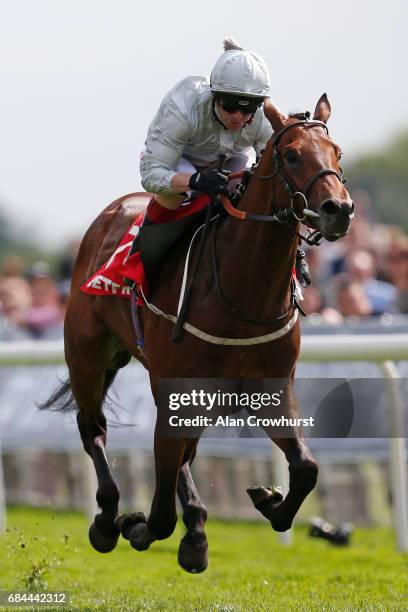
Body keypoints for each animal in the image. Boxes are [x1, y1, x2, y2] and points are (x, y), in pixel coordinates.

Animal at [42, 93, 354, 572]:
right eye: (291, 154)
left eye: (336, 152)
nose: (338, 210)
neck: (244, 293)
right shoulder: (176, 388)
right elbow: (159, 514)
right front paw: (135, 525)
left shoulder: (272, 387)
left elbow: (305, 469)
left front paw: (268, 499)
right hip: (88, 358)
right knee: (93, 429)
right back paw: (109, 518)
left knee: (182, 453)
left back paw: (196, 529)